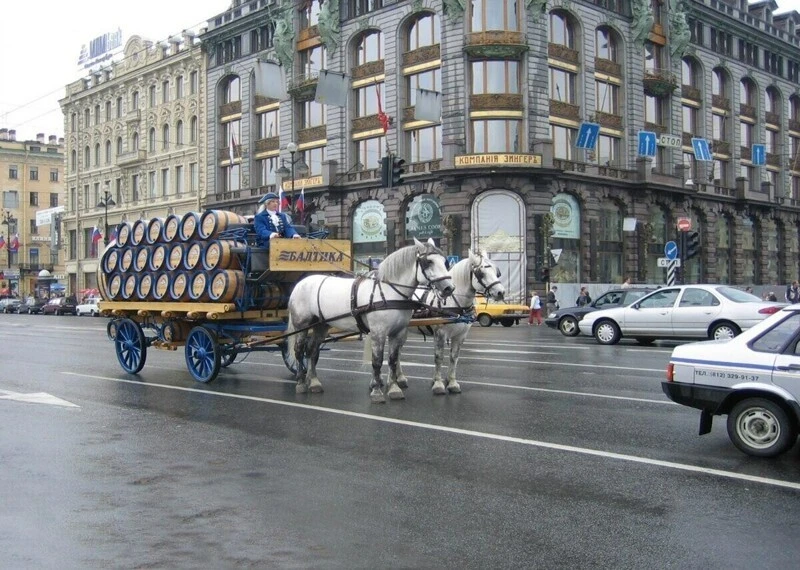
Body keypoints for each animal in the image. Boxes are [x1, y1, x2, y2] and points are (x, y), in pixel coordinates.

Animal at [284, 237, 454, 402]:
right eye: (428, 262)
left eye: (444, 261)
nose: (449, 288)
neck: (389, 291)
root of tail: (300, 284)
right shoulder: (378, 332)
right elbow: (377, 361)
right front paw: (377, 391)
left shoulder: (397, 332)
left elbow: (392, 360)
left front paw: (394, 389)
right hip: (302, 325)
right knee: (299, 351)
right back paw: (301, 382)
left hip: (321, 325)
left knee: (312, 351)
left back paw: (314, 382)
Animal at [412, 251, 506, 392]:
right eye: (481, 273)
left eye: (497, 272)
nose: (501, 292)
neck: (453, 302)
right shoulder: (440, 334)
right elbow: (439, 358)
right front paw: (438, 384)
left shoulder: (460, 335)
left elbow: (454, 357)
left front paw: (452, 383)